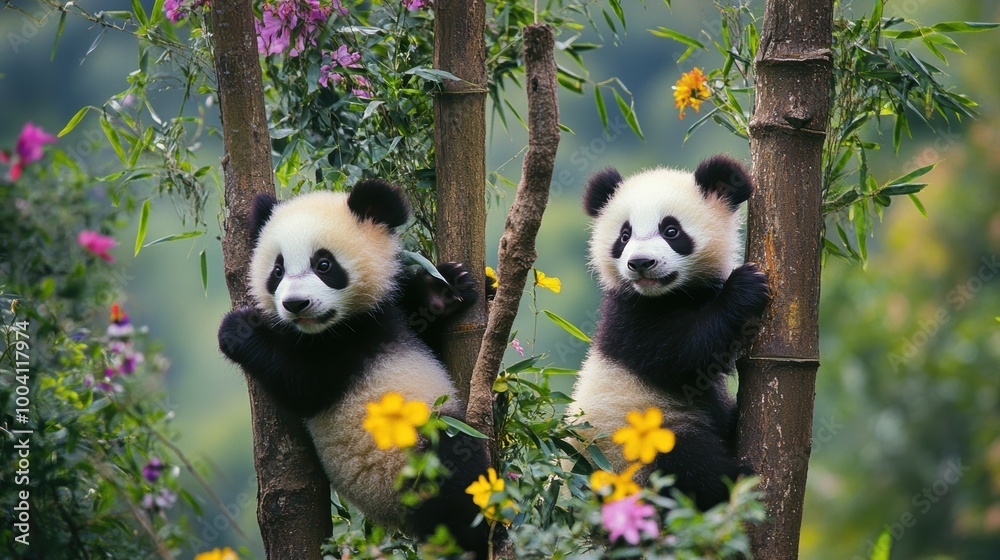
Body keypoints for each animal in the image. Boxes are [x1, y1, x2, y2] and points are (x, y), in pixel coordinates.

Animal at [217, 179, 488, 556]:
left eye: (324, 264)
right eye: (277, 270)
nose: (295, 304)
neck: (343, 322)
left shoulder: (360, 338)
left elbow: (305, 383)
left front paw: (446, 288)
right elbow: (304, 383)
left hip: (418, 453)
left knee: (455, 470)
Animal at [568, 155, 770, 511]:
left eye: (671, 230)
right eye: (624, 235)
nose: (640, 263)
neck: (669, 294)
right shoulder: (627, 317)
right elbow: (680, 356)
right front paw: (745, 288)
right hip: (638, 439)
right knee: (685, 463)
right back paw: (735, 481)